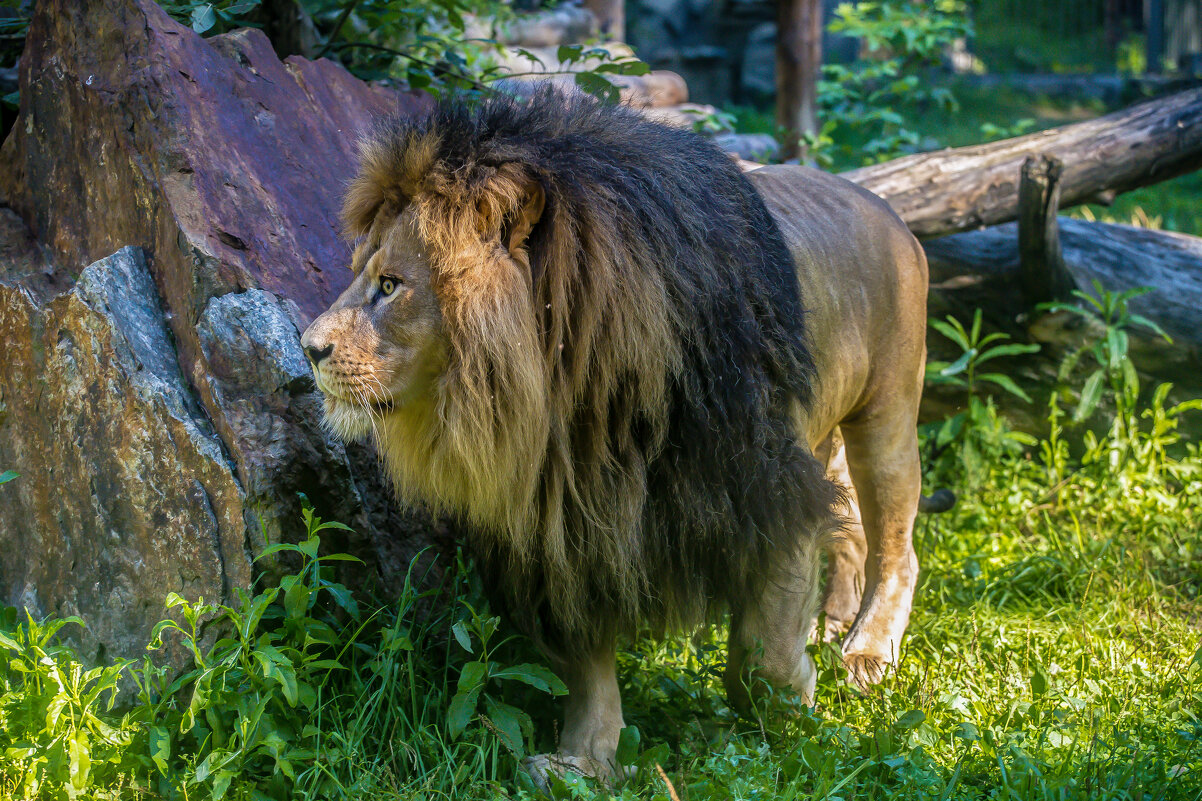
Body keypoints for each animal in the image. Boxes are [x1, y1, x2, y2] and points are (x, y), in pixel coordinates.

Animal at [300, 90, 927, 784]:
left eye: (390, 285)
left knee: (897, 546)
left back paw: (865, 653)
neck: (571, 405)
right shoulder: (562, 528)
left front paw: (791, 710)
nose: (307, 347)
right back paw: (836, 617)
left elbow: (763, 648)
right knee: (849, 522)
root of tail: (881, 203)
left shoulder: (766, 483)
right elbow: (586, 661)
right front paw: (586, 761)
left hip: (886, 415)